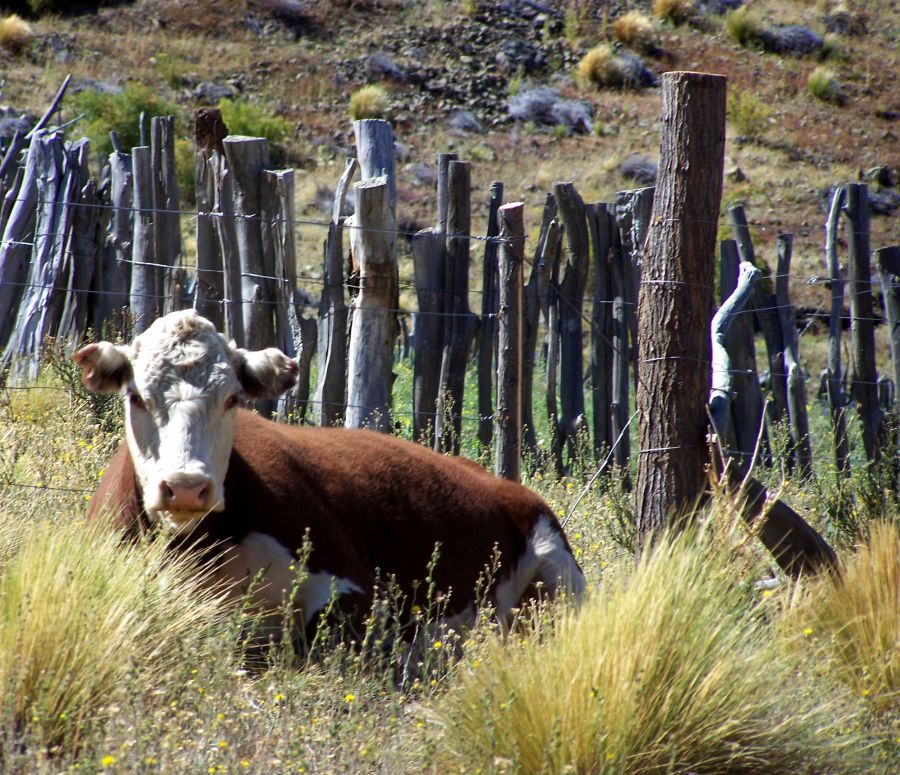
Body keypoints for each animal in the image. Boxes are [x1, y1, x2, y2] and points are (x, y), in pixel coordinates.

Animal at [75, 310, 584, 644]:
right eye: (136, 396)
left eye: (232, 398)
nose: (186, 487)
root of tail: (504, 485)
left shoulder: (359, 591)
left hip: (558, 572)